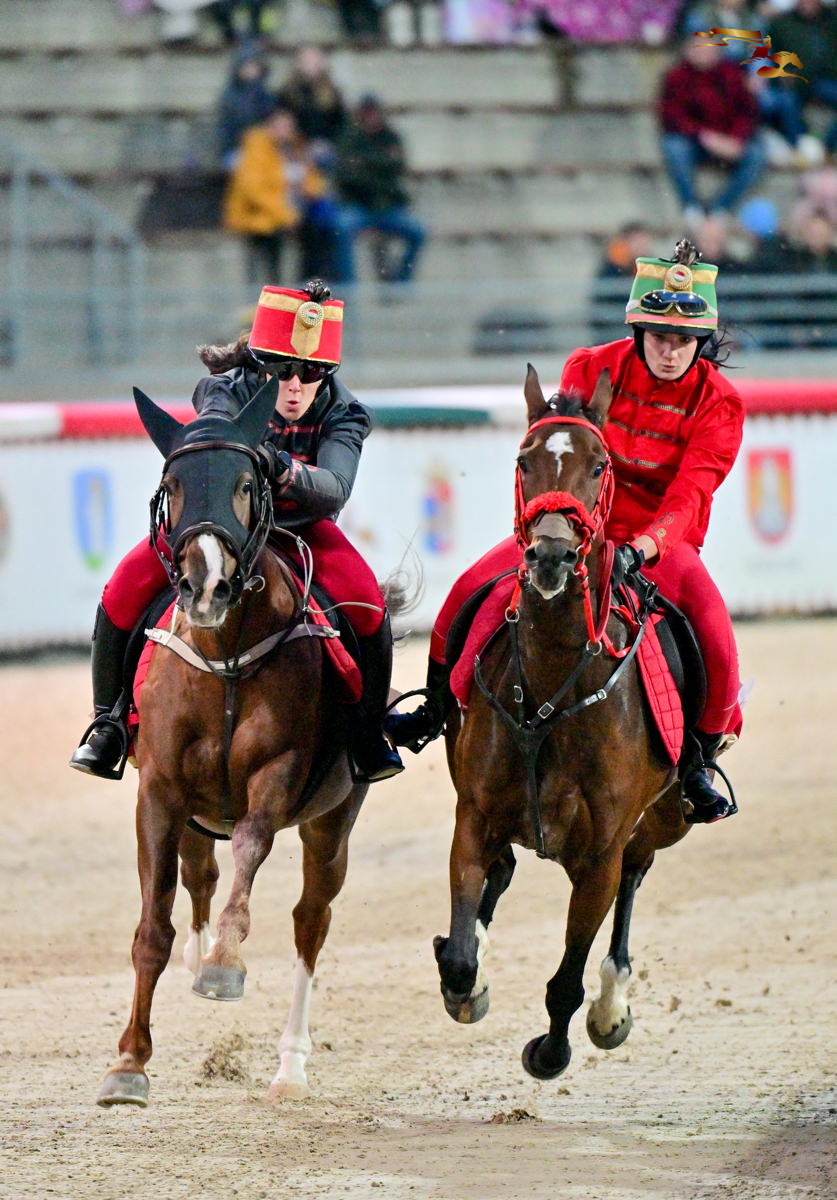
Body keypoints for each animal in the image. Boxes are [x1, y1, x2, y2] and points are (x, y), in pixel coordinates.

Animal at [97, 378, 376, 1106]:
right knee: (200, 871)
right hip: (195, 811)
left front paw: (224, 964)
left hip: (333, 823)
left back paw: (289, 1064)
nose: (206, 583)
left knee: (310, 919)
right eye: (173, 484)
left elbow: (252, 845)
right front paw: (128, 1064)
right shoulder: (160, 789)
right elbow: (152, 927)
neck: (223, 655)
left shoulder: (277, 773)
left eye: (249, 483)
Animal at [433, 365, 697, 1081]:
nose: (550, 554)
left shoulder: (600, 853)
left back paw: (612, 1005)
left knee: (637, 872)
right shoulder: (473, 814)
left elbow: (567, 979)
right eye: (524, 461)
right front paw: (467, 979)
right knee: (501, 875)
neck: (551, 688)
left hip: (668, 817)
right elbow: (461, 950)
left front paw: (551, 1049)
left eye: (600, 464)